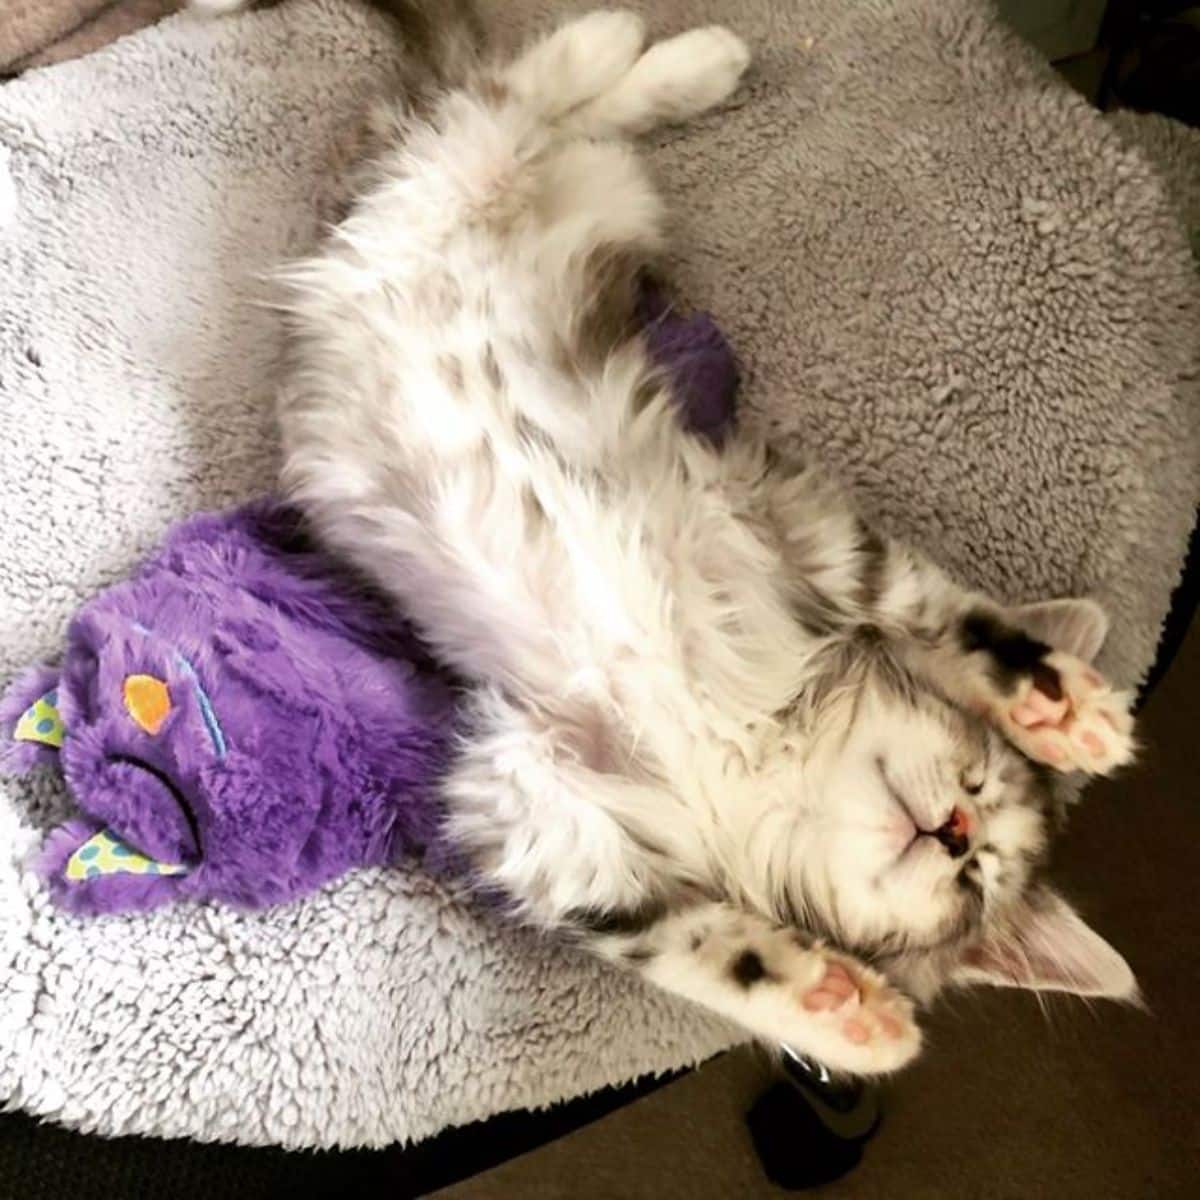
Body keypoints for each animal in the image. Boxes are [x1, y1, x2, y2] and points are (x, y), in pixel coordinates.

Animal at [216, 2, 1142, 1080]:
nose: (954, 833)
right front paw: (1062, 705)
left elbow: (690, 940)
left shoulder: (531, 802)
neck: (751, 757)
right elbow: (925, 608)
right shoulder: (761, 515)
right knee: (516, 88)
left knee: (556, 118)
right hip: (475, 169)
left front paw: (834, 1007)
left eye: (979, 877)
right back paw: (649, 48)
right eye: (978, 782)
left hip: (601, 196)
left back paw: (681, 65)